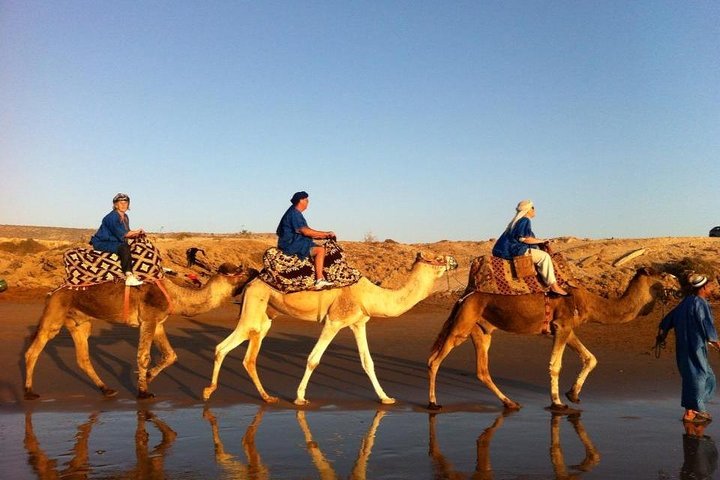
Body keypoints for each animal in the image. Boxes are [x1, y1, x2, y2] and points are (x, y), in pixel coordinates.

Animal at [24, 265, 256, 400]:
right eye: (241, 271)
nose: (256, 271)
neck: (176, 295)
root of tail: (51, 292)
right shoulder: (148, 320)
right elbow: (143, 356)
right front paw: (143, 391)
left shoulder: (159, 322)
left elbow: (171, 355)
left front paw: (148, 378)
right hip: (55, 314)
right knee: (32, 351)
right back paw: (29, 391)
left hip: (80, 323)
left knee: (83, 358)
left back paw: (107, 389)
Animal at [203, 252, 458, 405]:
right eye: (437, 257)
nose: (454, 261)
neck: (369, 294)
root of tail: (251, 281)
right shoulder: (334, 321)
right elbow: (313, 359)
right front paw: (300, 398)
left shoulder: (357, 322)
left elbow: (368, 362)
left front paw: (386, 398)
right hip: (253, 309)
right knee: (223, 347)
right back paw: (208, 391)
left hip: (264, 316)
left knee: (248, 355)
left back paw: (267, 397)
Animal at [427, 267, 679, 411]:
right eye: (663, 274)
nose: (679, 281)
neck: (589, 303)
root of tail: (463, 297)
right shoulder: (562, 326)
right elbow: (555, 365)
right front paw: (558, 403)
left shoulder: (566, 329)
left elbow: (591, 358)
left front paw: (573, 394)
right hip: (462, 325)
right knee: (434, 360)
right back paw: (433, 403)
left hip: (481, 330)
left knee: (481, 370)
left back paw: (510, 403)